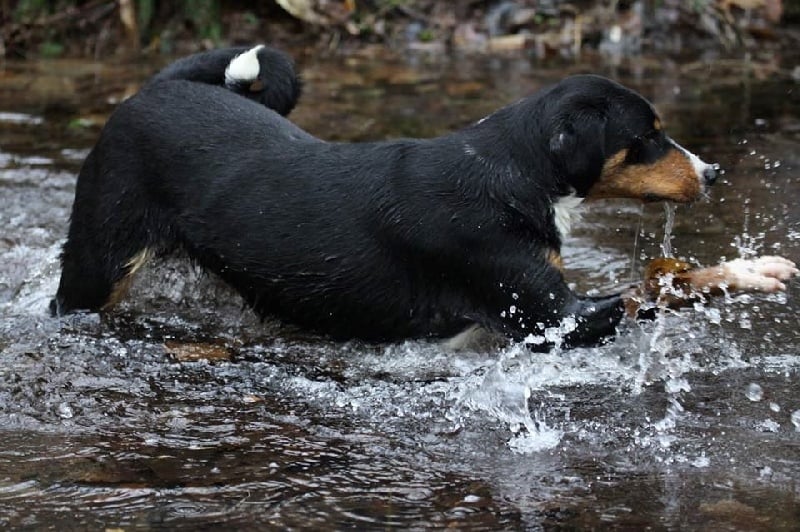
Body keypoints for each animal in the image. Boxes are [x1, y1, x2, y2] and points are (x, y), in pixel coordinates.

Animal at [48, 45, 792, 350]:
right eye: (647, 137)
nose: (714, 173)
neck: (507, 173)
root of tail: (155, 88)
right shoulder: (553, 318)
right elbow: (668, 284)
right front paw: (754, 270)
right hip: (98, 263)